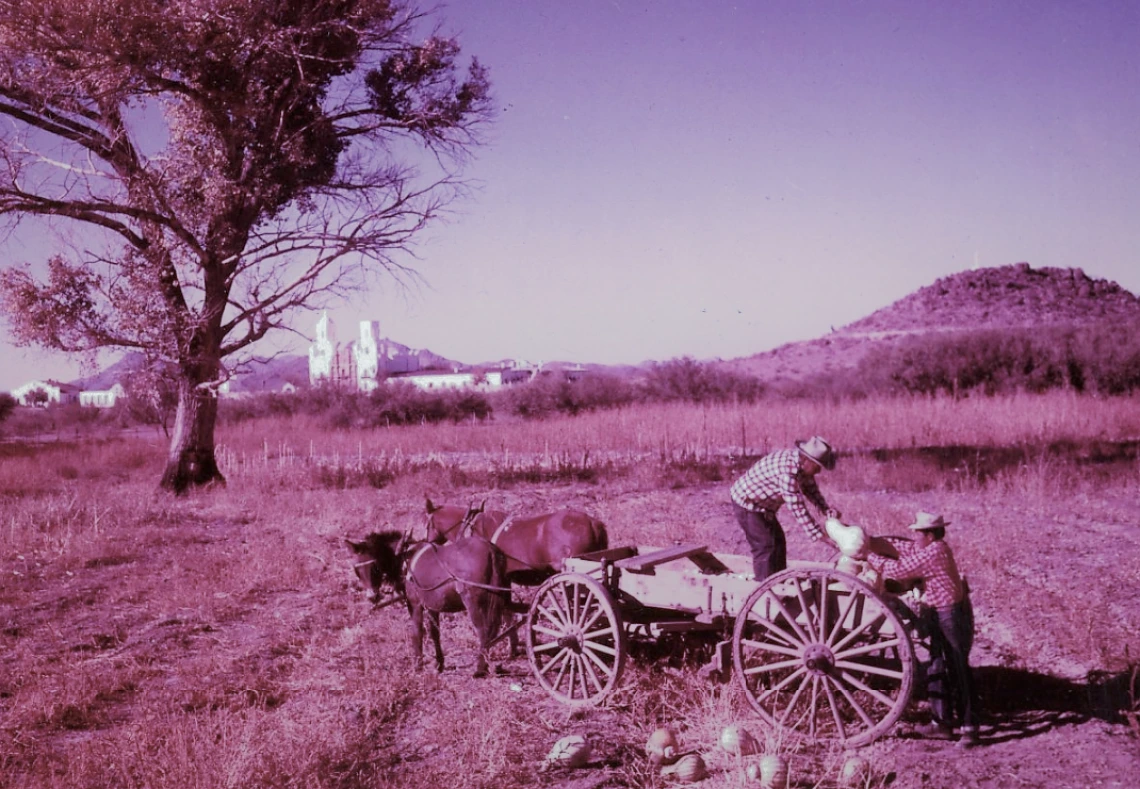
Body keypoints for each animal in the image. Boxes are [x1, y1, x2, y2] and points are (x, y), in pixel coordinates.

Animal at [344, 529, 510, 679]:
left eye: (375, 567)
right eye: (356, 570)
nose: (372, 597)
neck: (405, 558)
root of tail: (490, 549)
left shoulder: (415, 605)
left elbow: (417, 633)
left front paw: (418, 667)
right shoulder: (432, 606)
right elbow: (434, 633)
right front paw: (439, 664)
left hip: (474, 603)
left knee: (483, 631)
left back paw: (480, 669)